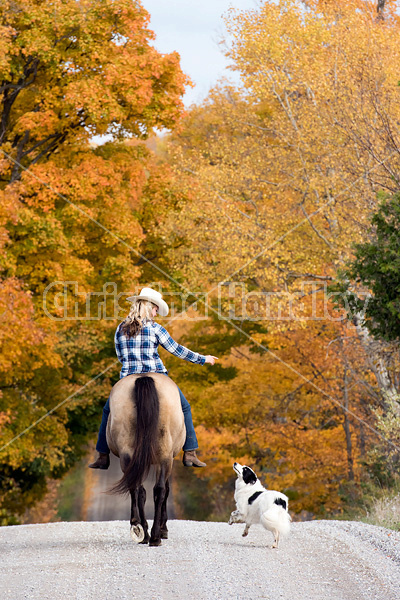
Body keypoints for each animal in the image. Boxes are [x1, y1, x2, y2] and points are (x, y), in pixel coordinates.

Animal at [106, 372, 184, 548]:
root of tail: (143, 377)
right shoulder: (168, 459)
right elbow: (166, 489)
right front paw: (163, 528)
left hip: (129, 456)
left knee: (139, 489)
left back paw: (143, 531)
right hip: (164, 457)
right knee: (158, 490)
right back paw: (154, 535)